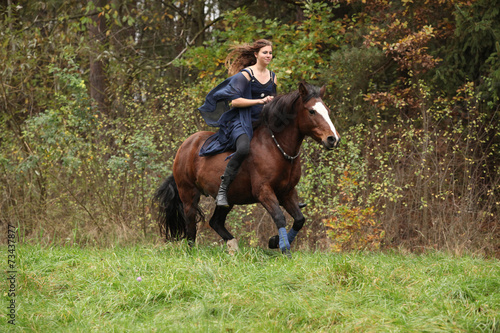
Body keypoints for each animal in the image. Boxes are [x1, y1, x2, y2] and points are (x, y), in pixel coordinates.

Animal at [152, 81, 340, 256]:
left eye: (327, 111)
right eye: (312, 111)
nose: (333, 139)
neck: (277, 146)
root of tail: (185, 146)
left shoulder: (287, 192)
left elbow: (300, 219)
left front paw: (274, 241)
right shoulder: (263, 191)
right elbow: (279, 218)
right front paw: (284, 249)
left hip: (229, 199)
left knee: (215, 222)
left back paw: (234, 248)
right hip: (188, 193)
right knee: (190, 223)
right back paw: (193, 253)